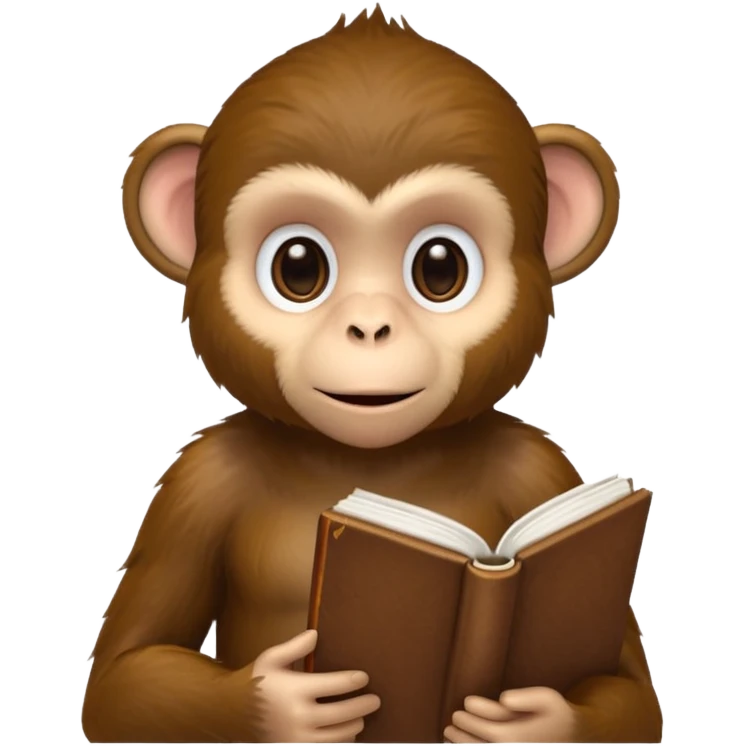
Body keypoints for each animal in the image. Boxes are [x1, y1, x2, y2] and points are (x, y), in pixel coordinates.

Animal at [82, 6, 662, 744]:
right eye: (299, 267)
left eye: (440, 268)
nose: (369, 327)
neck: (373, 458)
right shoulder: (196, 484)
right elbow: (122, 680)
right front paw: (287, 702)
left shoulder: (541, 469)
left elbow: (631, 694)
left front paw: (525, 716)